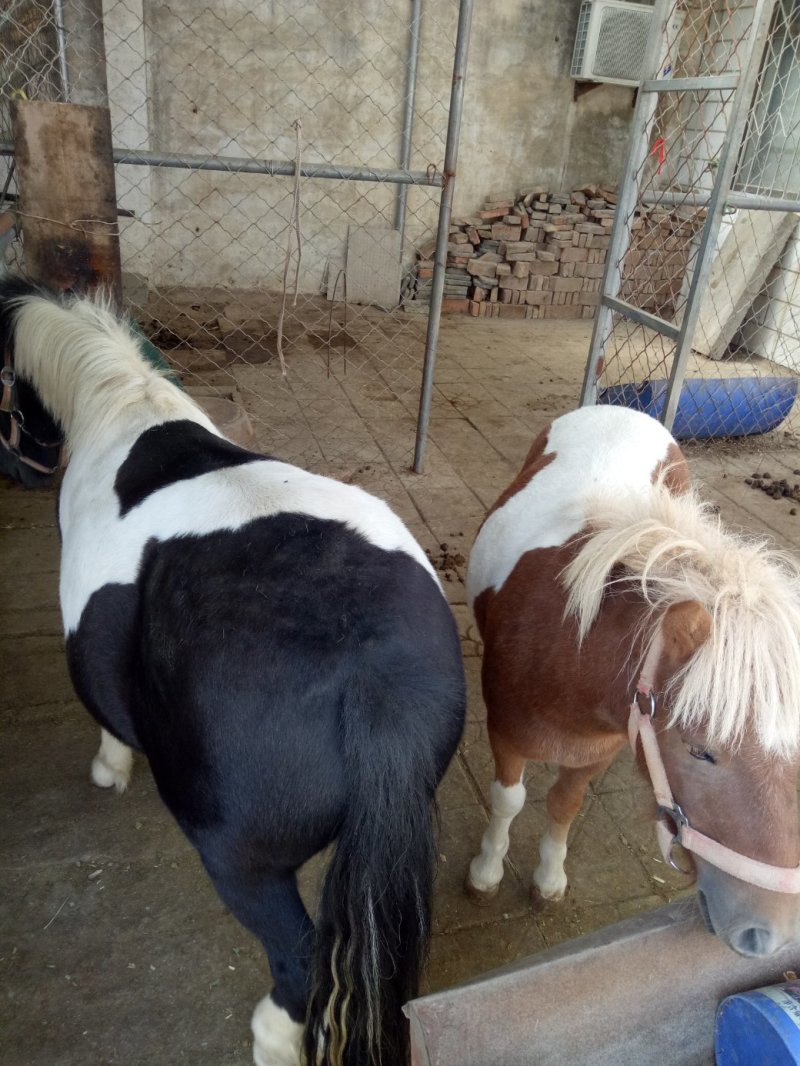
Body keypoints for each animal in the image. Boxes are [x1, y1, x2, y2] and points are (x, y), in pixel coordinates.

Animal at [0, 277, 466, 1066]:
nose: (23, 469)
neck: (122, 405)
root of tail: (373, 677)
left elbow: (105, 721)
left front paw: (109, 769)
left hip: (242, 866)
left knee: (300, 965)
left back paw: (272, 1040)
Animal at [465, 403, 800, 958]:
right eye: (699, 750)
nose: (768, 936)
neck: (570, 650)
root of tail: (622, 409)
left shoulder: (595, 753)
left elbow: (564, 805)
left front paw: (548, 879)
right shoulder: (506, 737)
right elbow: (508, 801)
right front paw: (486, 872)